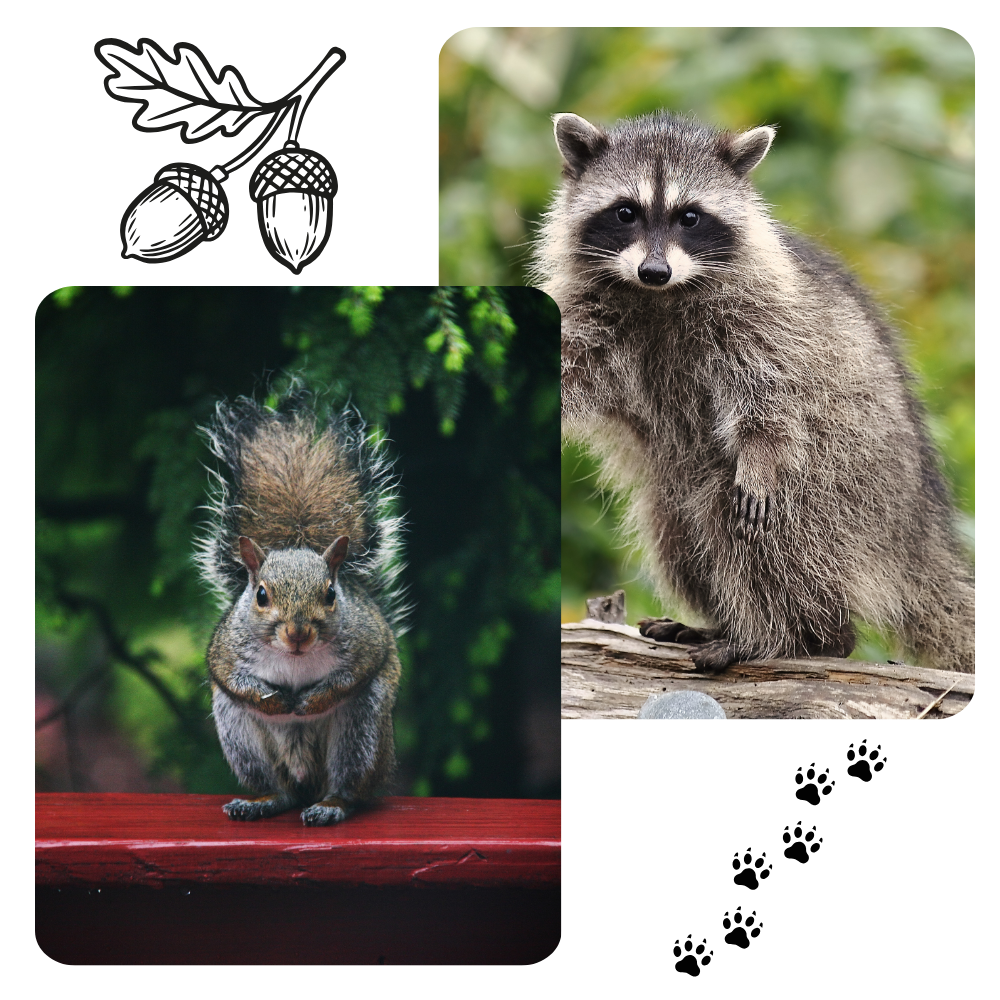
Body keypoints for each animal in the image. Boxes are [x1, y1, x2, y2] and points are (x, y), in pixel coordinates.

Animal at [196, 389, 407, 825]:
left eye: (330, 594)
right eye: (261, 595)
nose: (297, 633)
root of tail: (305, 778)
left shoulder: (366, 640)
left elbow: (354, 674)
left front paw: (311, 701)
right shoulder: (227, 648)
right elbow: (230, 676)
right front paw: (275, 700)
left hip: (361, 732)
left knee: (348, 784)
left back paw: (330, 806)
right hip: (240, 737)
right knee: (279, 790)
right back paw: (260, 801)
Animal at [534, 110, 975, 673]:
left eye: (690, 217)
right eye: (625, 212)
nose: (654, 271)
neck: (658, 296)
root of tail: (920, 530)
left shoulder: (760, 313)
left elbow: (774, 392)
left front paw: (761, 447)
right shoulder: (590, 311)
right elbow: (570, 367)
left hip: (839, 484)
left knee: (757, 529)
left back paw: (790, 636)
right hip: (678, 490)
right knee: (676, 536)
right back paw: (726, 623)